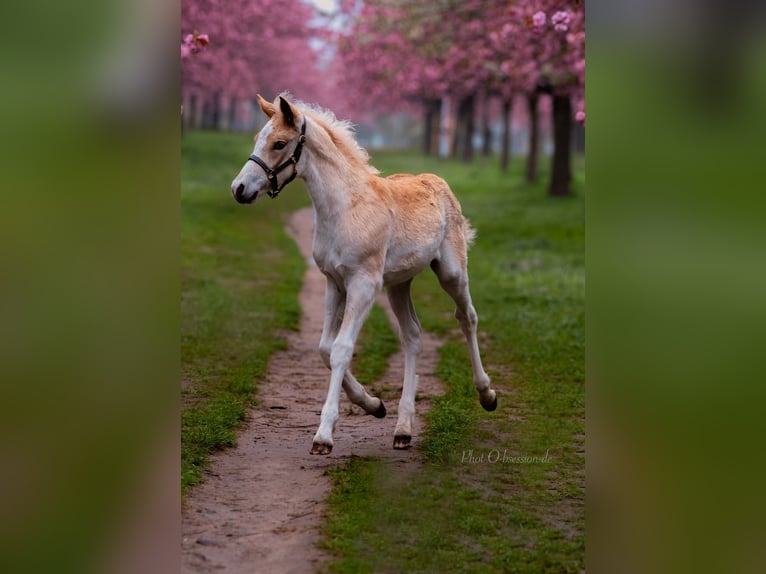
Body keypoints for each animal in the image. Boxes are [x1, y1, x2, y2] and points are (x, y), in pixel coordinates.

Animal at [232, 94, 498, 456]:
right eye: (257, 138)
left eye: (279, 144)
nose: (239, 188)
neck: (344, 208)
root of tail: (438, 181)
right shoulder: (334, 282)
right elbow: (325, 348)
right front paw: (373, 405)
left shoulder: (363, 284)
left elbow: (342, 348)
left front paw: (324, 435)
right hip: (399, 284)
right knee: (412, 335)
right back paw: (403, 428)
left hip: (452, 273)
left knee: (466, 317)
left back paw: (486, 394)